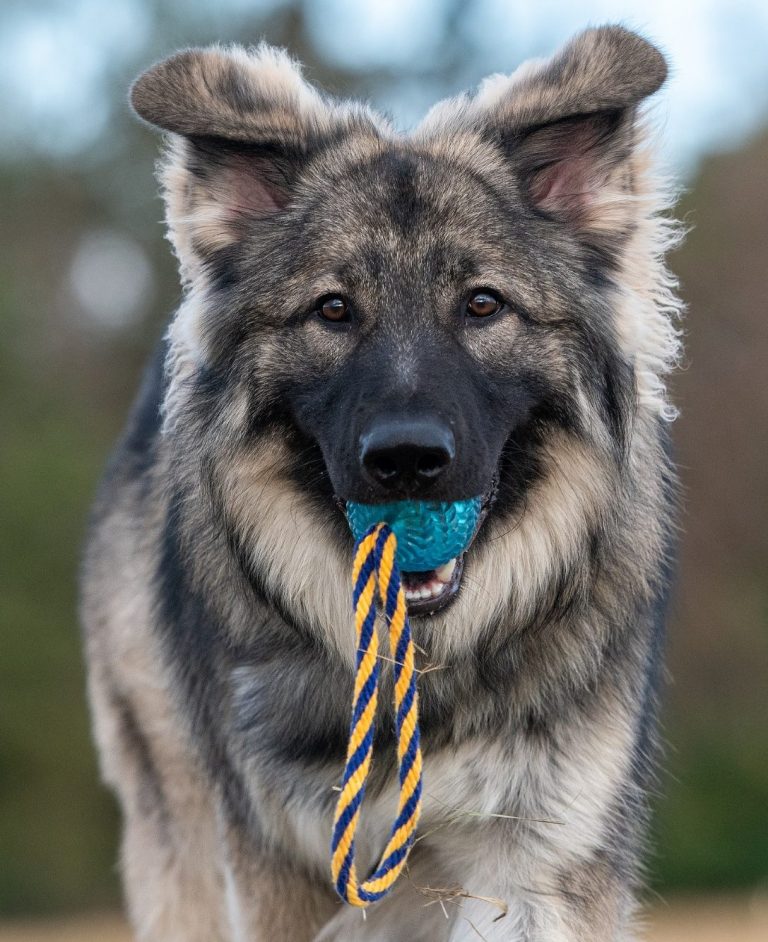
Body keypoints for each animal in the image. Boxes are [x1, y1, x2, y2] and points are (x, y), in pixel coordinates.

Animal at [82, 24, 684, 942]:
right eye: (333, 310)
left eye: (482, 304)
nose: (406, 460)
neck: (428, 671)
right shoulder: (278, 863)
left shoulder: (537, 861)